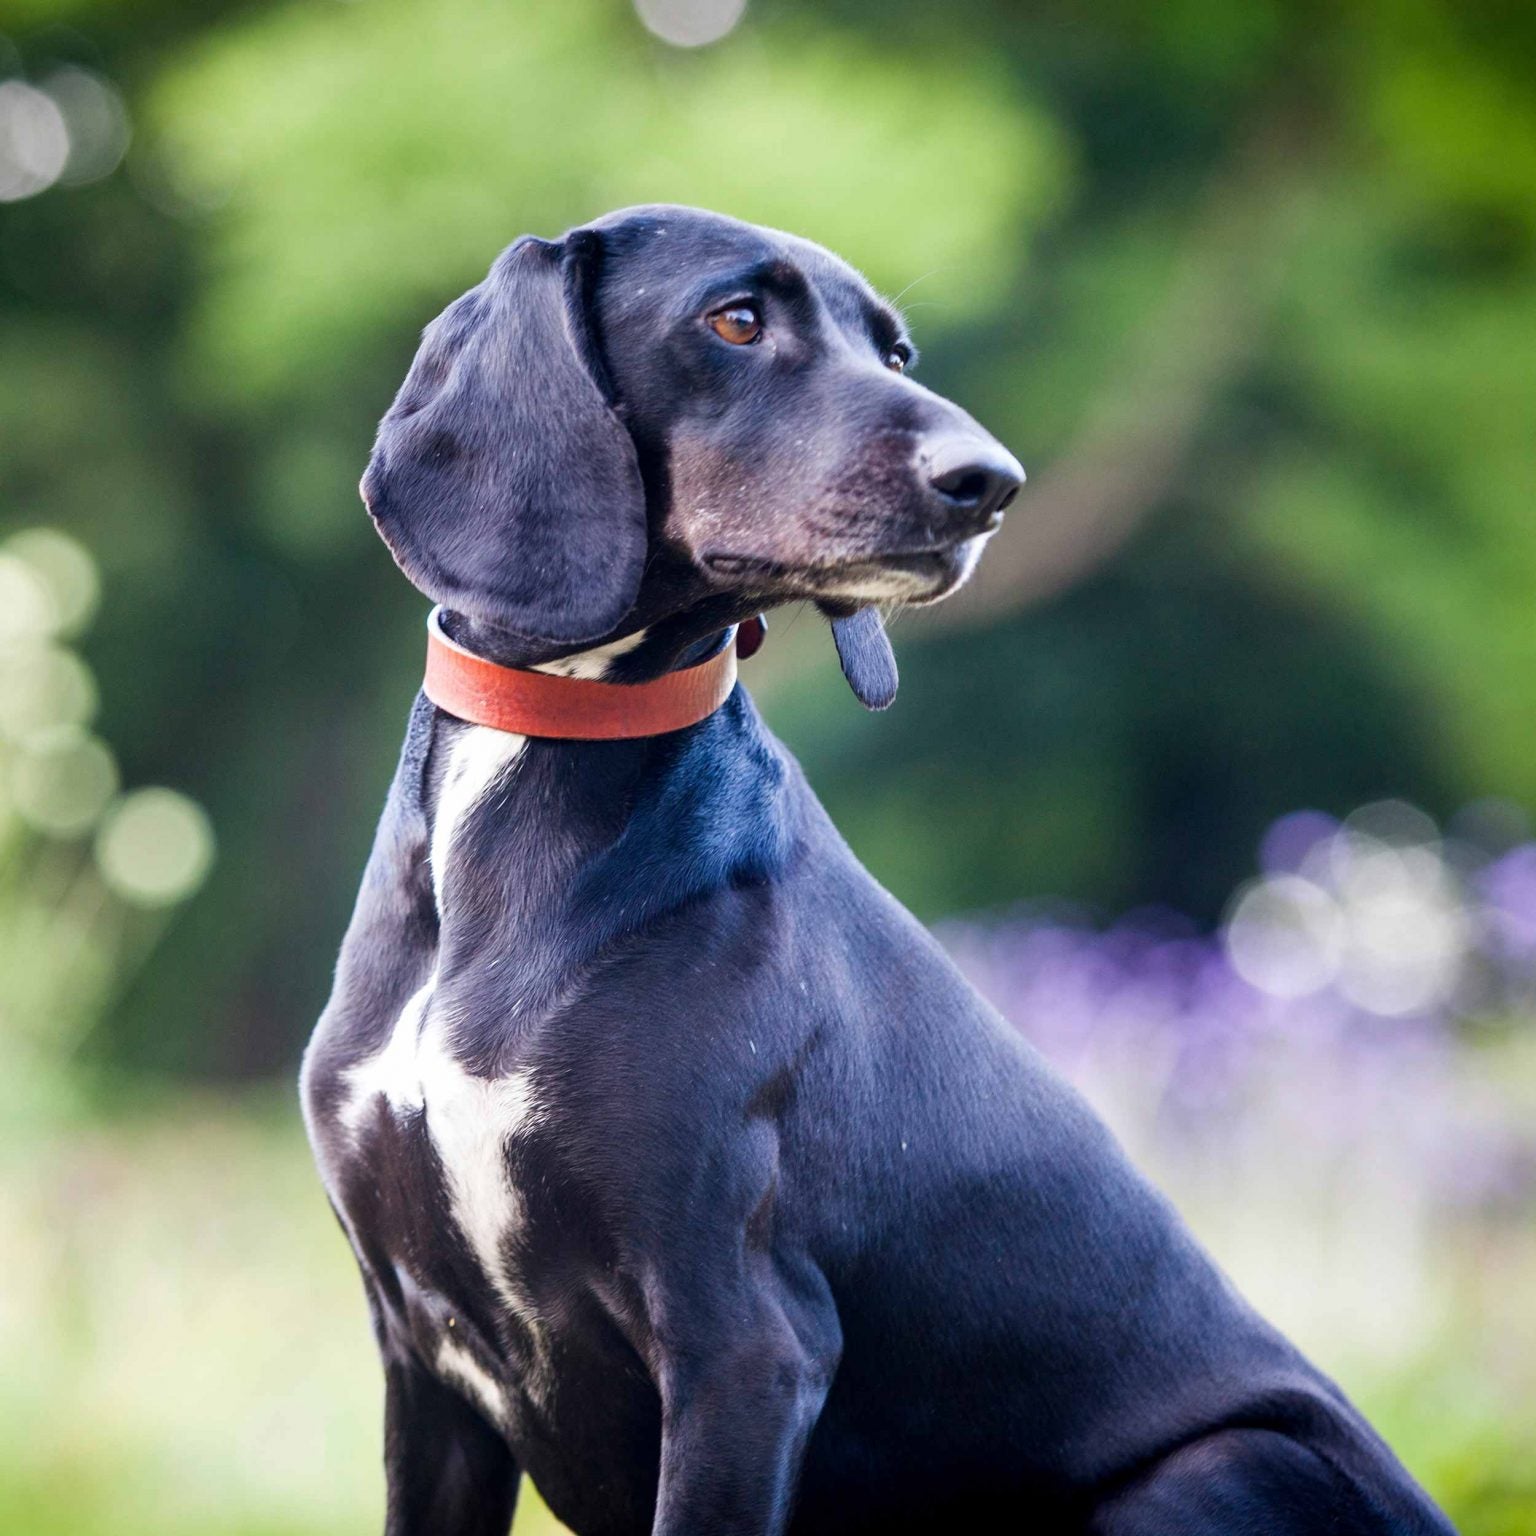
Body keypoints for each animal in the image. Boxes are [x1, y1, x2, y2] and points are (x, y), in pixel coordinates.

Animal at [299, 207, 1449, 1536]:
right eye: (736, 318)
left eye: (896, 352)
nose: (988, 484)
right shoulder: (424, 1358)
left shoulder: (744, 1346)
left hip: (1212, 1465)